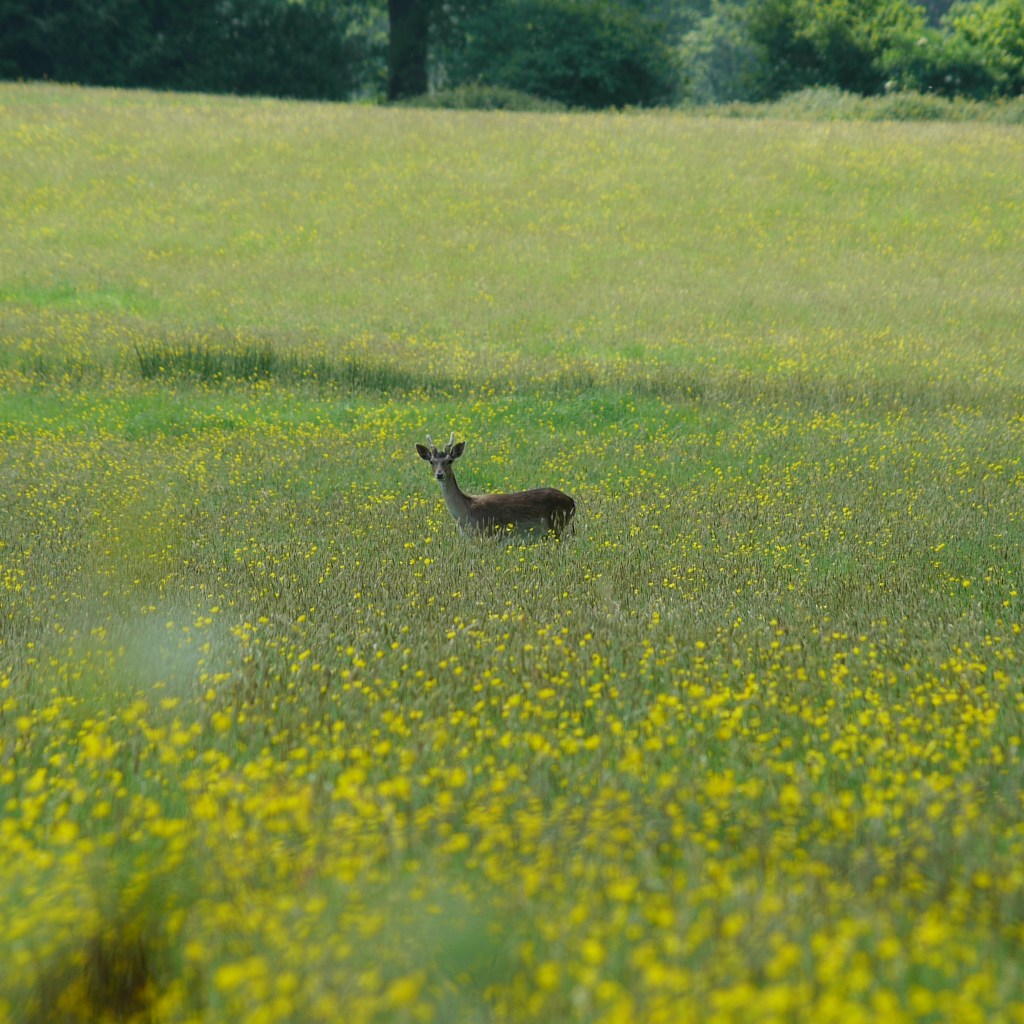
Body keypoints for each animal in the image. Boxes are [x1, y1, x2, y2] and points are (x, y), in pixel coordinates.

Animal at [416, 433, 576, 538]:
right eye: (431, 461)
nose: (439, 474)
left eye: (450, 460)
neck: (466, 514)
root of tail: (572, 502)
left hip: (557, 525)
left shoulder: (488, 534)